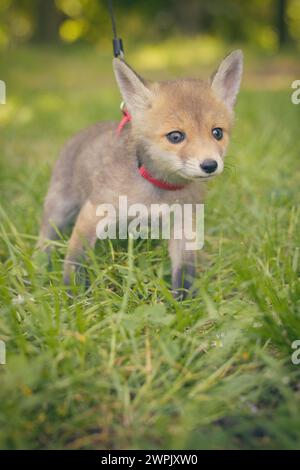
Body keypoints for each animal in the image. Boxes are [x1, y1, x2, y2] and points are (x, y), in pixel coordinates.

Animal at [38, 50, 244, 298]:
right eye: (176, 136)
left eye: (217, 133)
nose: (210, 165)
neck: (157, 187)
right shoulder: (93, 212)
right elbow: (75, 261)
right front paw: (74, 296)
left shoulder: (183, 224)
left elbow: (184, 273)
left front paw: (184, 303)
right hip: (59, 210)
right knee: (45, 238)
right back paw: (40, 264)